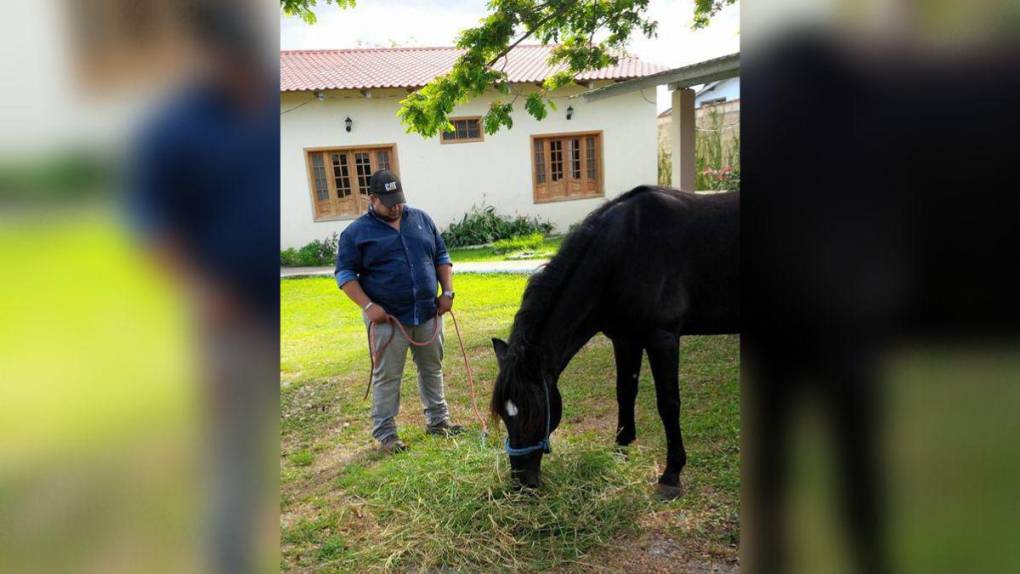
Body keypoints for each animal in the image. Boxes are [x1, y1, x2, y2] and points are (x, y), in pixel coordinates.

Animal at [489, 186, 738, 495]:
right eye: (505, 414)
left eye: (534, 414)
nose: (522, 482)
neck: (624, 252)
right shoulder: (624, 339)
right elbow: (624, 393)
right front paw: (620, 451)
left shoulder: (663, 338)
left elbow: (668, 403)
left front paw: (671, 474)